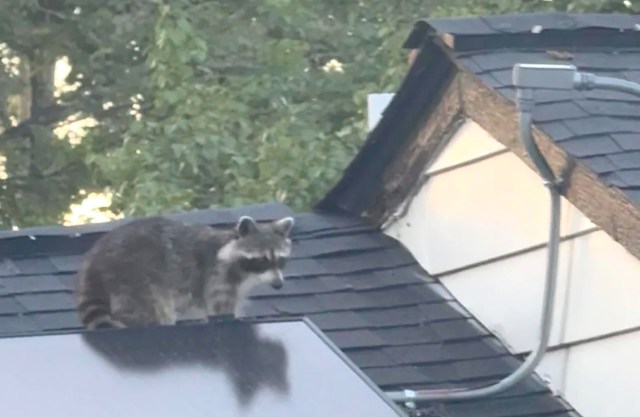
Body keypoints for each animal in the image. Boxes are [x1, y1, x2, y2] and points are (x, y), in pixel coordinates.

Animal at [75, 215, 294, 329]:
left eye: (280, 260)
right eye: (262, 260)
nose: (278, 285)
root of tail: (94, 257)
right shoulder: (218, 275)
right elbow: (220, 311)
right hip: (134, 277)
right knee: (150, 312)